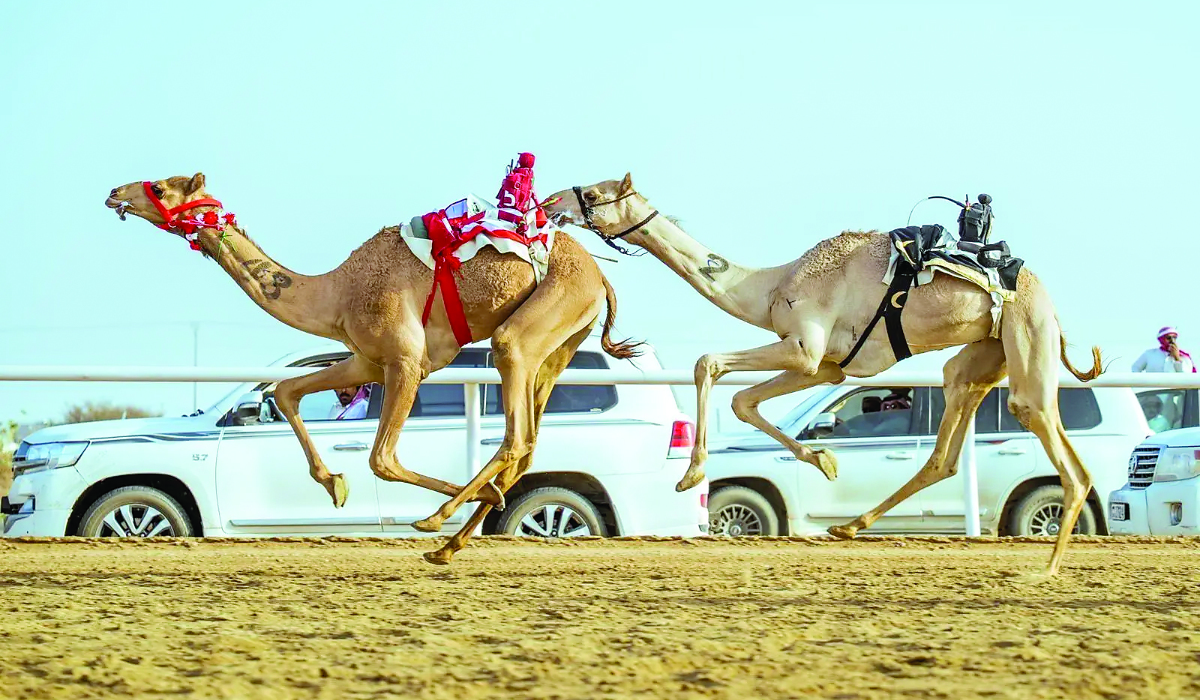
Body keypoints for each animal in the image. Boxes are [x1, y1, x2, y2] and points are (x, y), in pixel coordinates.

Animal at [104, 173, 640, 564]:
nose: (113, 193)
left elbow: (381, 459)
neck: (336, 293)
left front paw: (461, 504)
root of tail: (603, 279)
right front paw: (334, 485)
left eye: (160, 187)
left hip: (533, 327)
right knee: (527, 443)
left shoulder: (406, 360)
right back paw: (450, 545)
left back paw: (443, 520)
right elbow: (287, 392)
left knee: (516, 433)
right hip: (559, 348)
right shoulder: (367, 359)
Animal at [543, 175, 1103, 577]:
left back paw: (1046, 569)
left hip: (1028, 338)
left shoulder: (803, 349)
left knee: (1057, 448)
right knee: (947, 443)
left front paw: (691, 474)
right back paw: (849, 527)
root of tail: (1047, 300)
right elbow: (743, 400)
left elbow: (709, 364)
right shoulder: (828, 365)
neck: (771, 285)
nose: (550, 202)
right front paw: (825, 461)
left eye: (594, 193)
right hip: (981, 355)